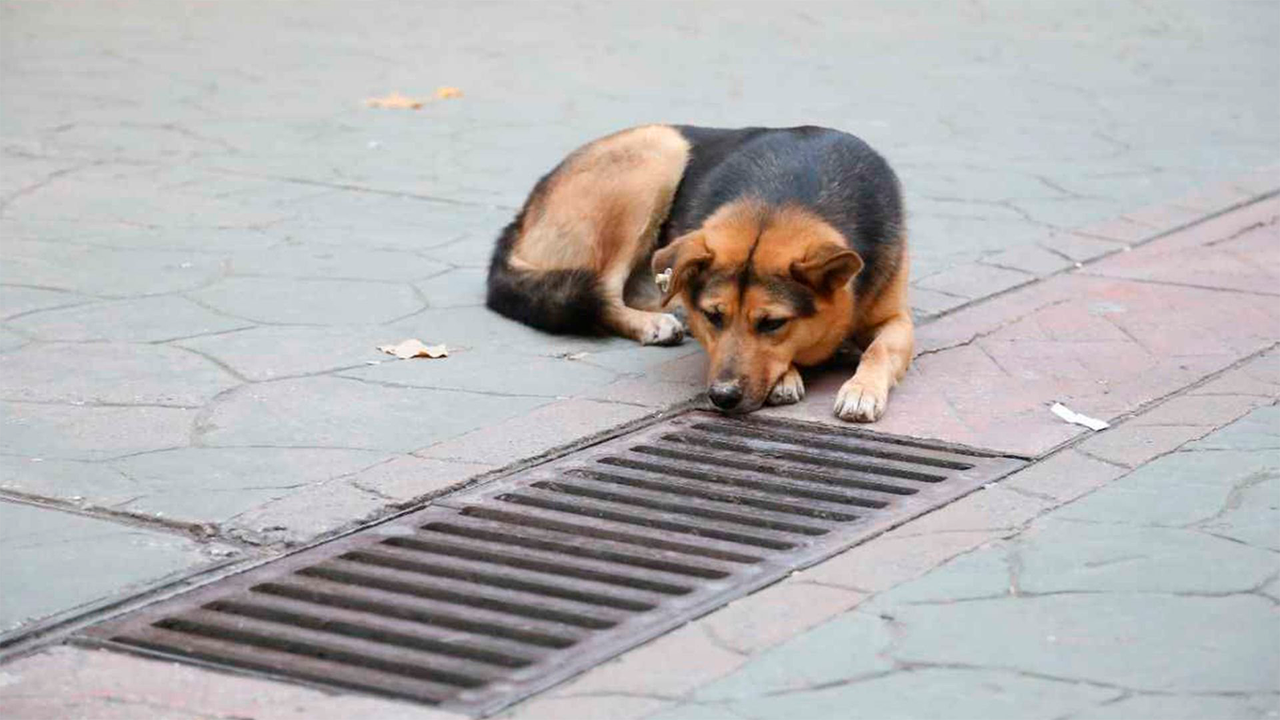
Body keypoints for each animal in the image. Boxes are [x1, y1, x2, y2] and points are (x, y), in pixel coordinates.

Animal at [483, 122, 916, 420]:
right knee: (605, 289)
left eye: (773, 323)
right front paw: (787, 376)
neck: (788, 195)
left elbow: (881, 348)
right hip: (658, 150)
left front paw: (862, 389)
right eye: (713, 316)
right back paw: (652, 323)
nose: (722, 397)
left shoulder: (897, 318)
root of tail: (520, 218)